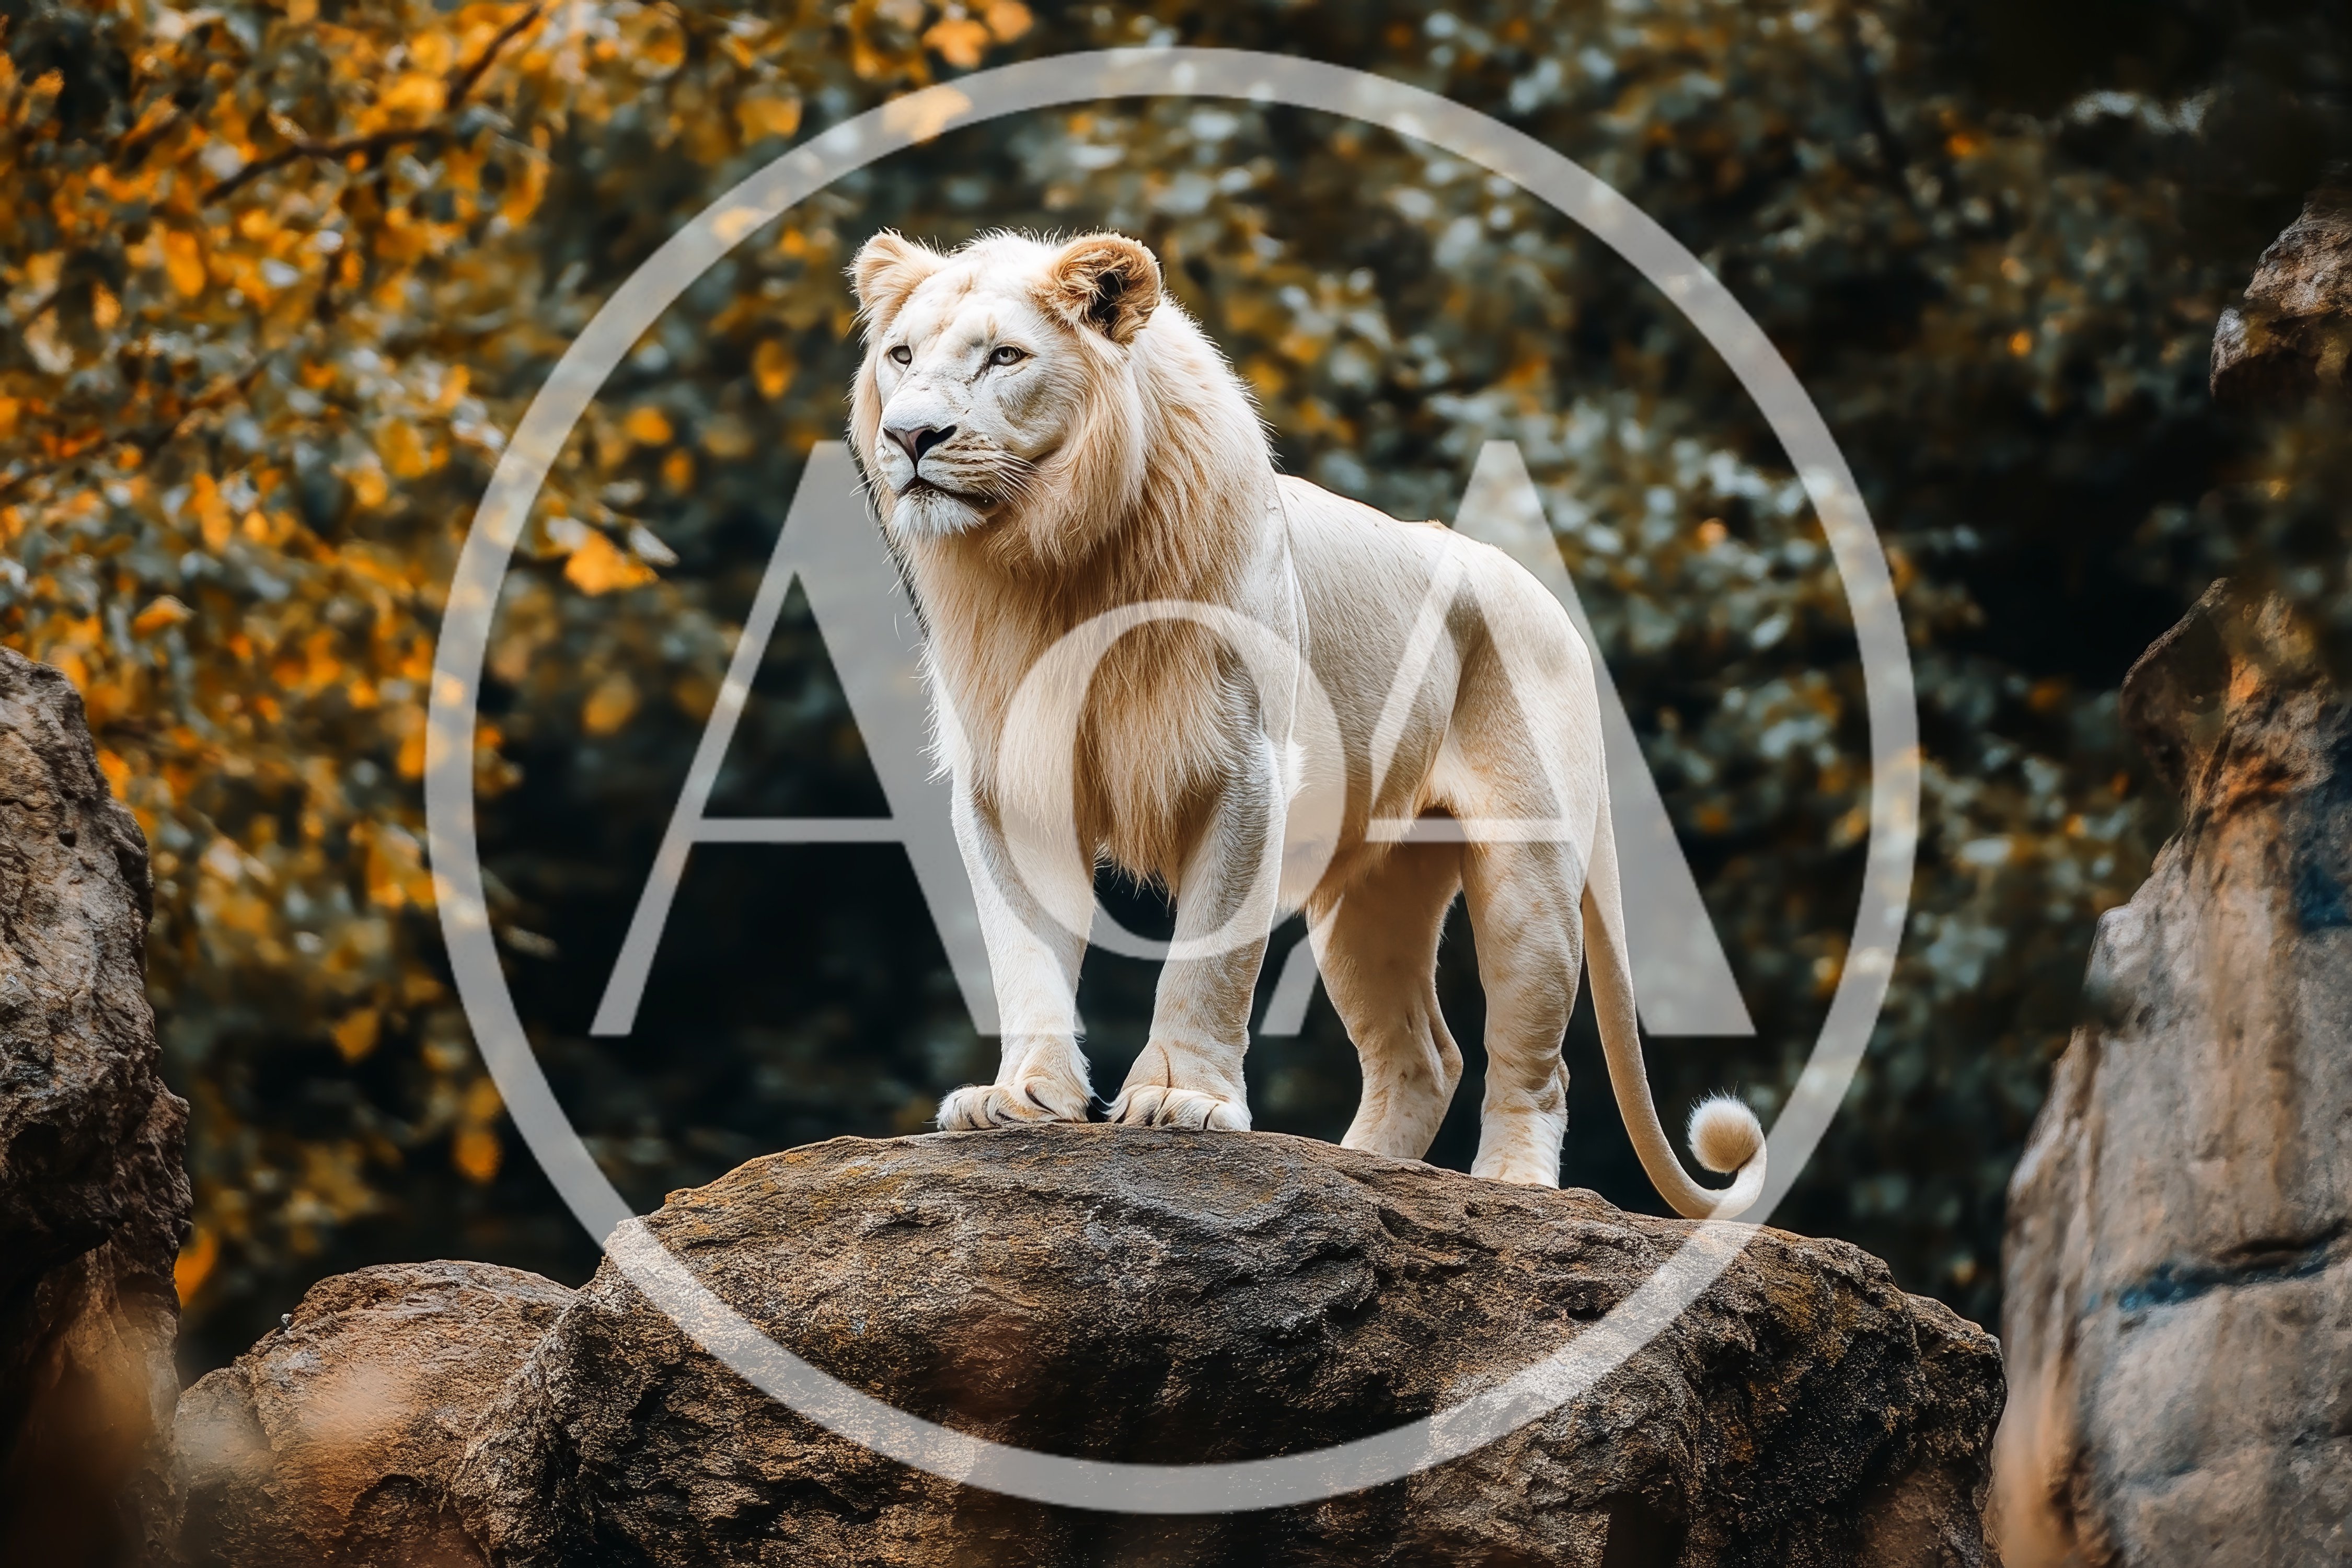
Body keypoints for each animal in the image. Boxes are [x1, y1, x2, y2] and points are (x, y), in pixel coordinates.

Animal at [847, 228, 1765, 1215]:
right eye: (901, 358)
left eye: (1005, 358)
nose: (910, 436)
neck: (1049, 561)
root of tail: (1547, 600)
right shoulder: (1009, 787)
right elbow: (1026, 955)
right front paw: (1021, 1098)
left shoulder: (1242, 768)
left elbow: (1209, 960)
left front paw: (1181, 1099)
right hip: (1372, 897)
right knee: (1423, 1056)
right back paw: (1363, 1175)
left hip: (1531, 870)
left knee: (1534, 1063)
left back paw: (1511, 1187)